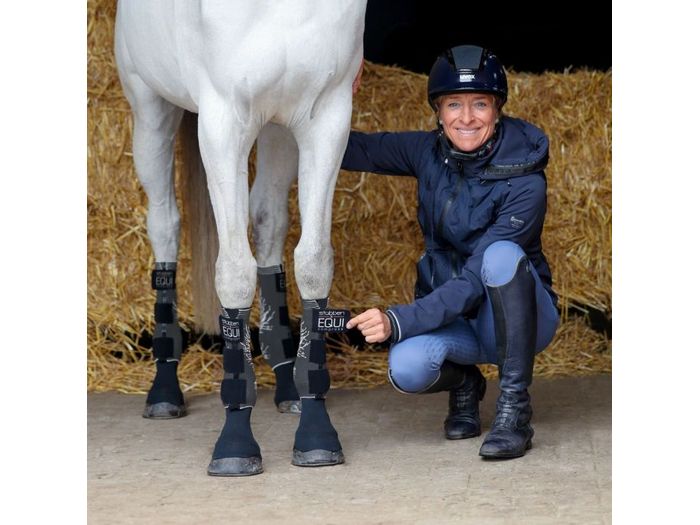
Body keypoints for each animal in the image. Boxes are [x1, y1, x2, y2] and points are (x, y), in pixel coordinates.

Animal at [114, 0, 367, 476]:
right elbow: (233, 274)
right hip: (151, 111)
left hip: (277, 128)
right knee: (165, 225)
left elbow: (313, 263)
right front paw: (234, 443)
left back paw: (286, 382)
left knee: (268, 220)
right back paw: (164, 391)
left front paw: (316, 429)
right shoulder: (222, 124)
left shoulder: (326, 120)